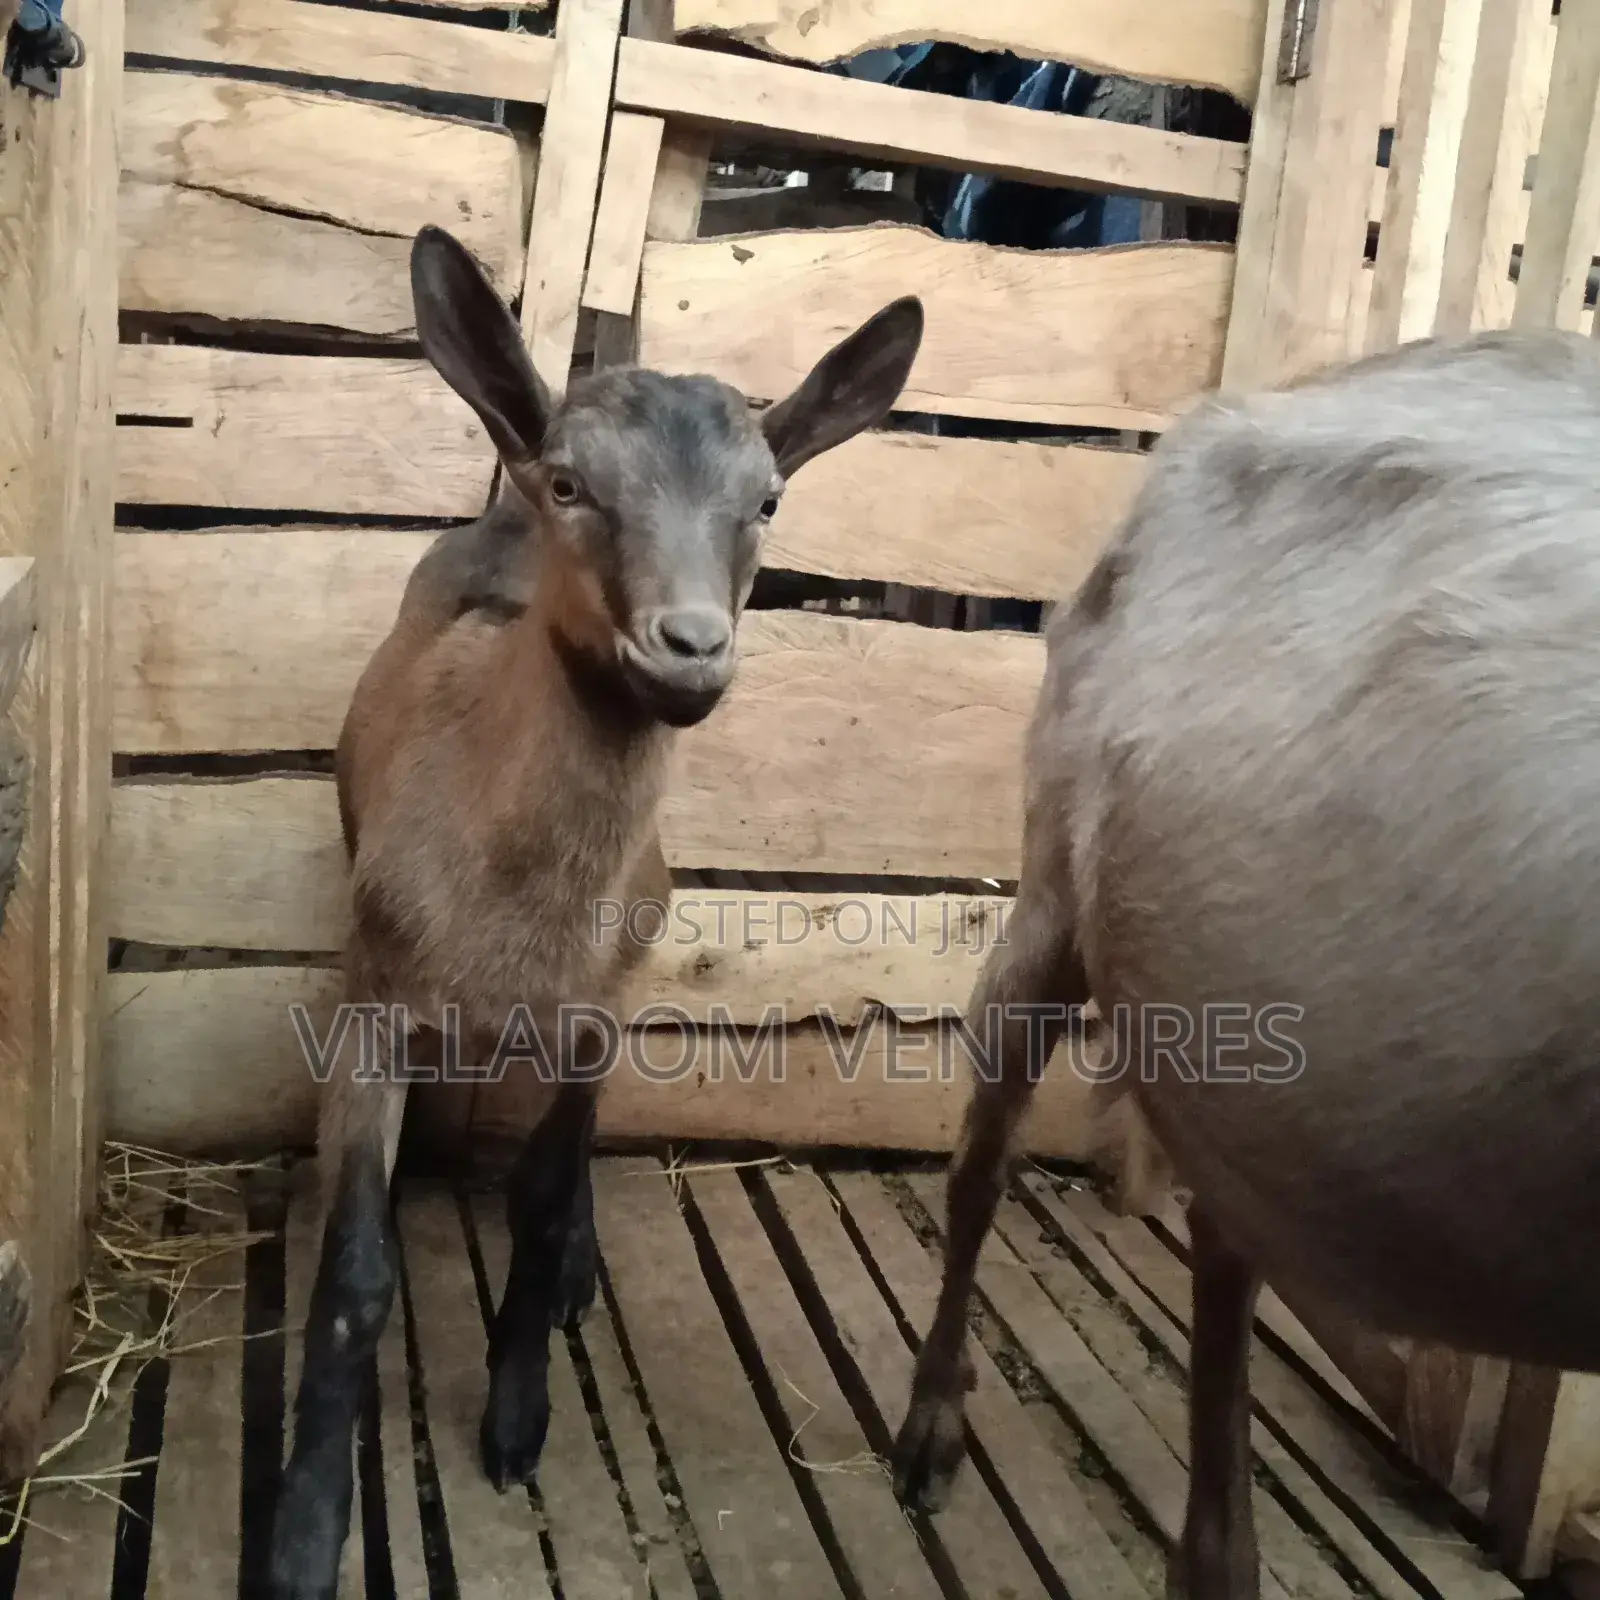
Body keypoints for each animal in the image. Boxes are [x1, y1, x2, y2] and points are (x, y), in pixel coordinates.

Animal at [268, 223, 923, 1600]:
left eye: (768, 499)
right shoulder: (368, 1004)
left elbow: (538, 1201)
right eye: (576, 482)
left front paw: (517, 1418)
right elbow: (354, 1275)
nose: (689, 647)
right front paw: (299, 1535)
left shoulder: (589, 1018)